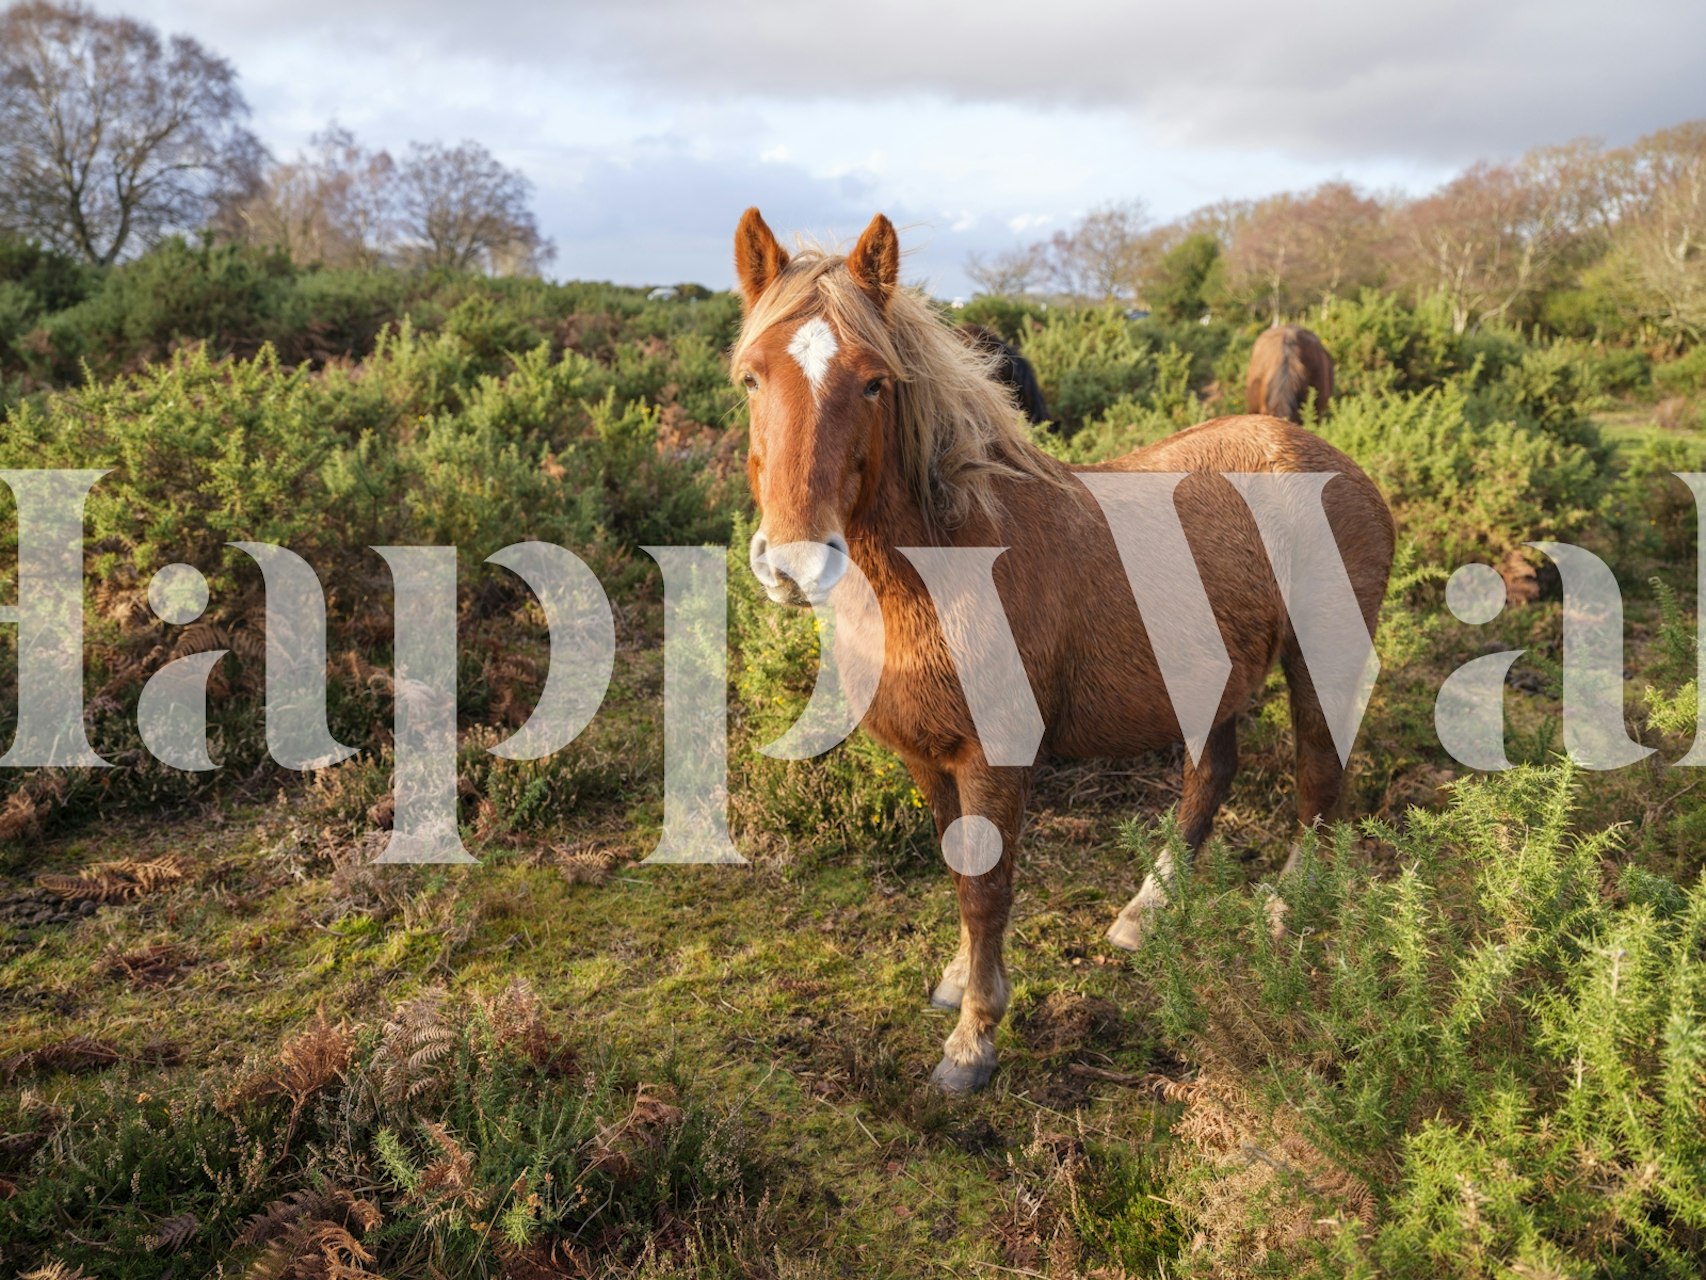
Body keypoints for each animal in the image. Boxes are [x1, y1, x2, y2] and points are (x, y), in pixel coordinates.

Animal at [733, 208, 1393, 1092]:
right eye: (751, 378)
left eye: (874, 381)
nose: (794, 562)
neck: (944, 564)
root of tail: (1330, 460)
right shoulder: (923, 755)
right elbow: (957, 866)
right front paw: (958, 982)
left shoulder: (995, 755)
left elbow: (986, 887)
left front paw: (974, 1039)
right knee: (1212, 775)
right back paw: (1147, 911)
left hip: (1321, 659)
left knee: (1319, 782)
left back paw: (1287, 910)